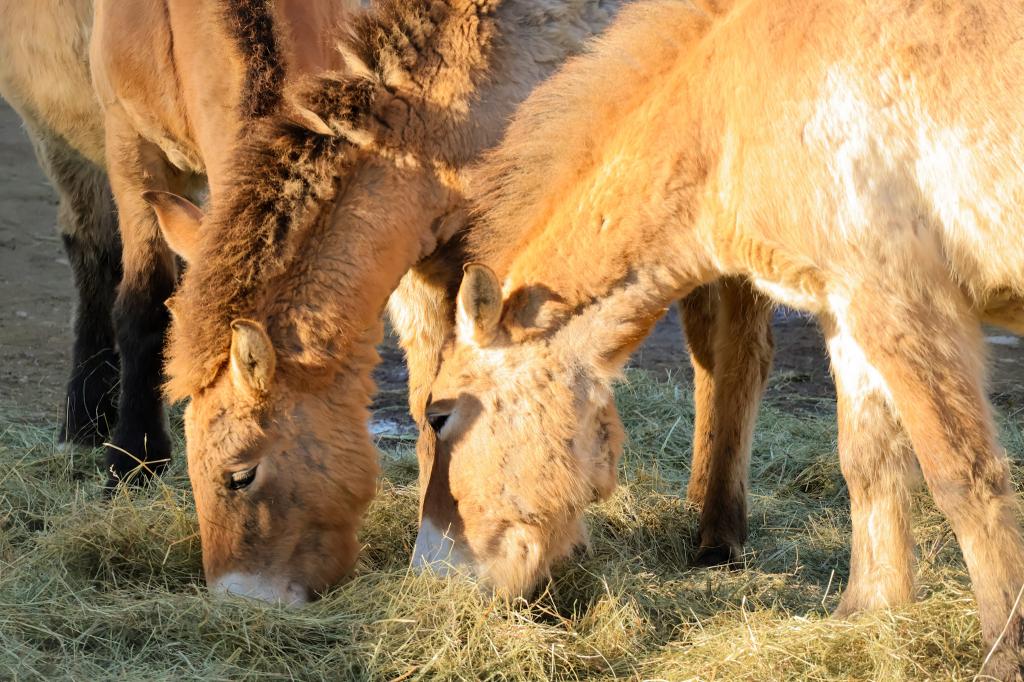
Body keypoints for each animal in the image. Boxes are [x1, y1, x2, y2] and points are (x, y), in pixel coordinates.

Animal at [415, 0, 1024, 676]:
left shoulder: (903, 305)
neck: (731, 110)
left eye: (440, 415)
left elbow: (963, 478)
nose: (431, 570)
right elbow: (868, 462)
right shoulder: (844, 311)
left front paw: (1004, 655)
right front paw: (866, 613)